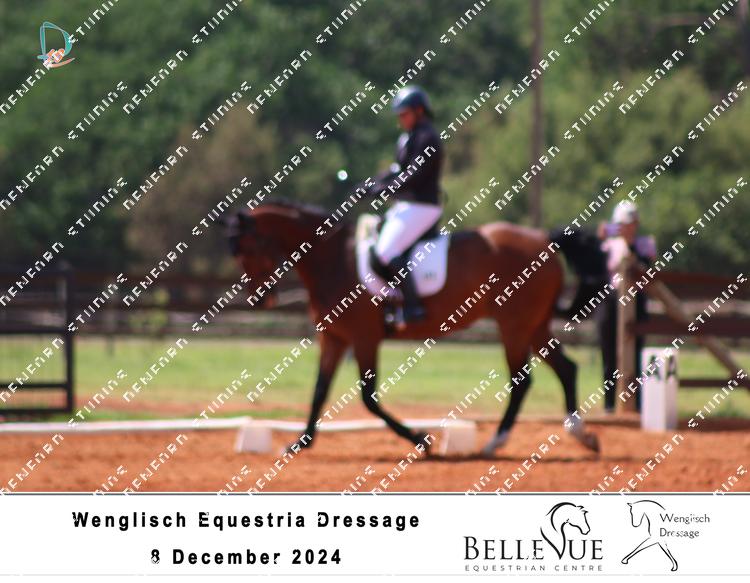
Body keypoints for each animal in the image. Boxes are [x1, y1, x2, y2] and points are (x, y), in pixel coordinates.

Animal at [225, 199, 600, 456]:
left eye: (250, 247)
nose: (260, 300)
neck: (332, 260)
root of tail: (543, 239)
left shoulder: (364, 338)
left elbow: (368, 398)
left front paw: (421, 439)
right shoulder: (333, 338)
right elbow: (319, 391)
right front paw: (300, 443)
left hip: (514, 327)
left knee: (523, 381)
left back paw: (496, 442)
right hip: (533, 326)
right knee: (566, 368)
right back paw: (582, 435)